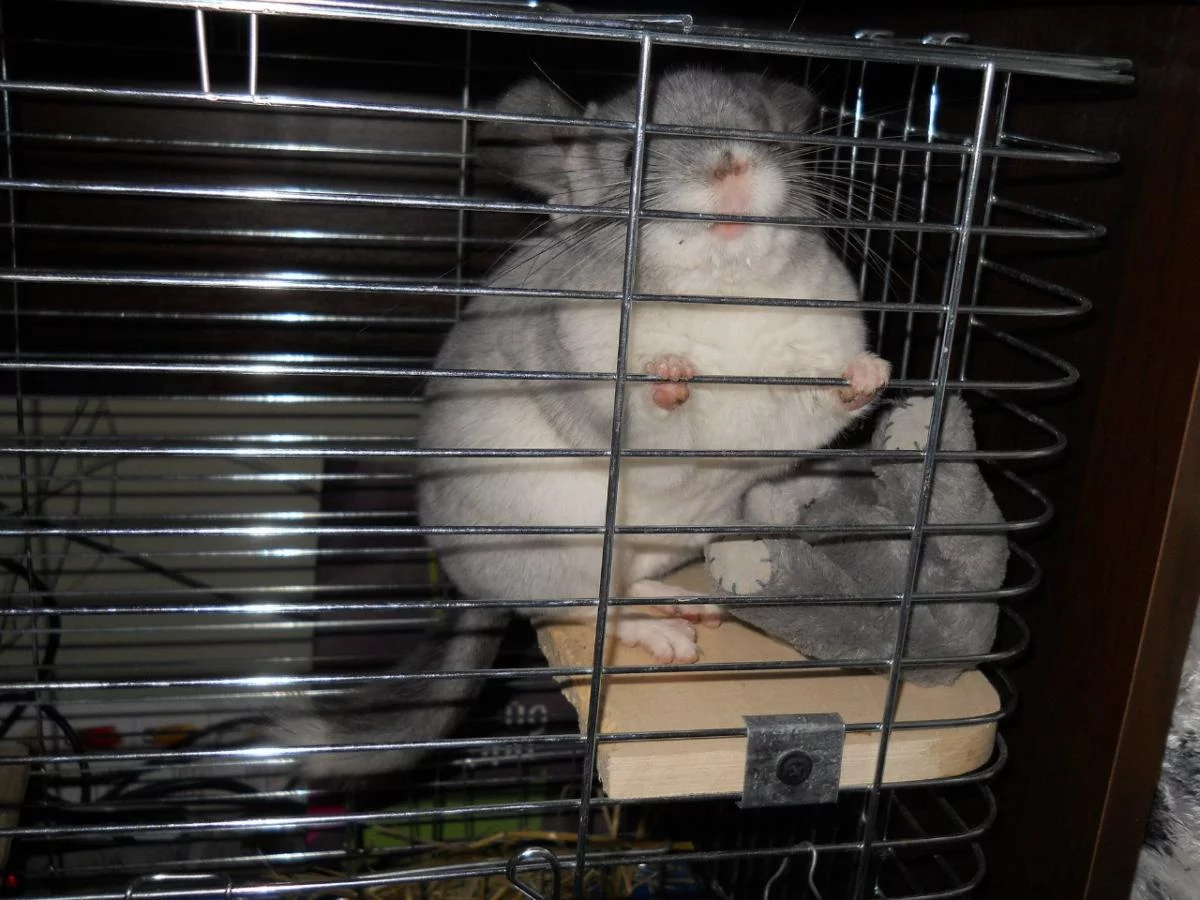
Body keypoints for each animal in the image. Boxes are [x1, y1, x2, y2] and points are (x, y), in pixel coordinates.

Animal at [418, 68, 890, 663]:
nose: (730, 165)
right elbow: (653, 423)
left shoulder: (788, 409)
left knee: (619, 590)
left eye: (766, 128)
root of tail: (470, 590)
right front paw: (668, 372)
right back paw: (668, 639)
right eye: (628, 160)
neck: (722, 295)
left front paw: (868, 374)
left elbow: (819, 407)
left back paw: (686, 607)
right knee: (575, 609)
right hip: (559, 547)